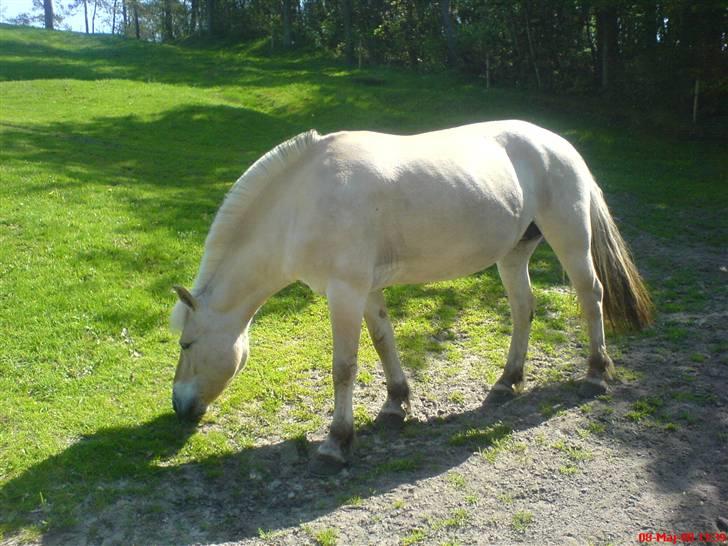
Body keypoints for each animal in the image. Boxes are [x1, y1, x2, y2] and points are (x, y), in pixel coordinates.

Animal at [171, 119, 656, 472]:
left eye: (186, 344)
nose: (179, 407)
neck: (302, 203)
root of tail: (561, 145)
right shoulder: (367, 291)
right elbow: (384, 344)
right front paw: (395, 404)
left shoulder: (344, 293)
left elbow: (344, 368)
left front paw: (336, 443)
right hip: (514, 253)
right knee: (523, 309)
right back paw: (508, 381)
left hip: (570, 240)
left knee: (590, 296)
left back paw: (595, 374)